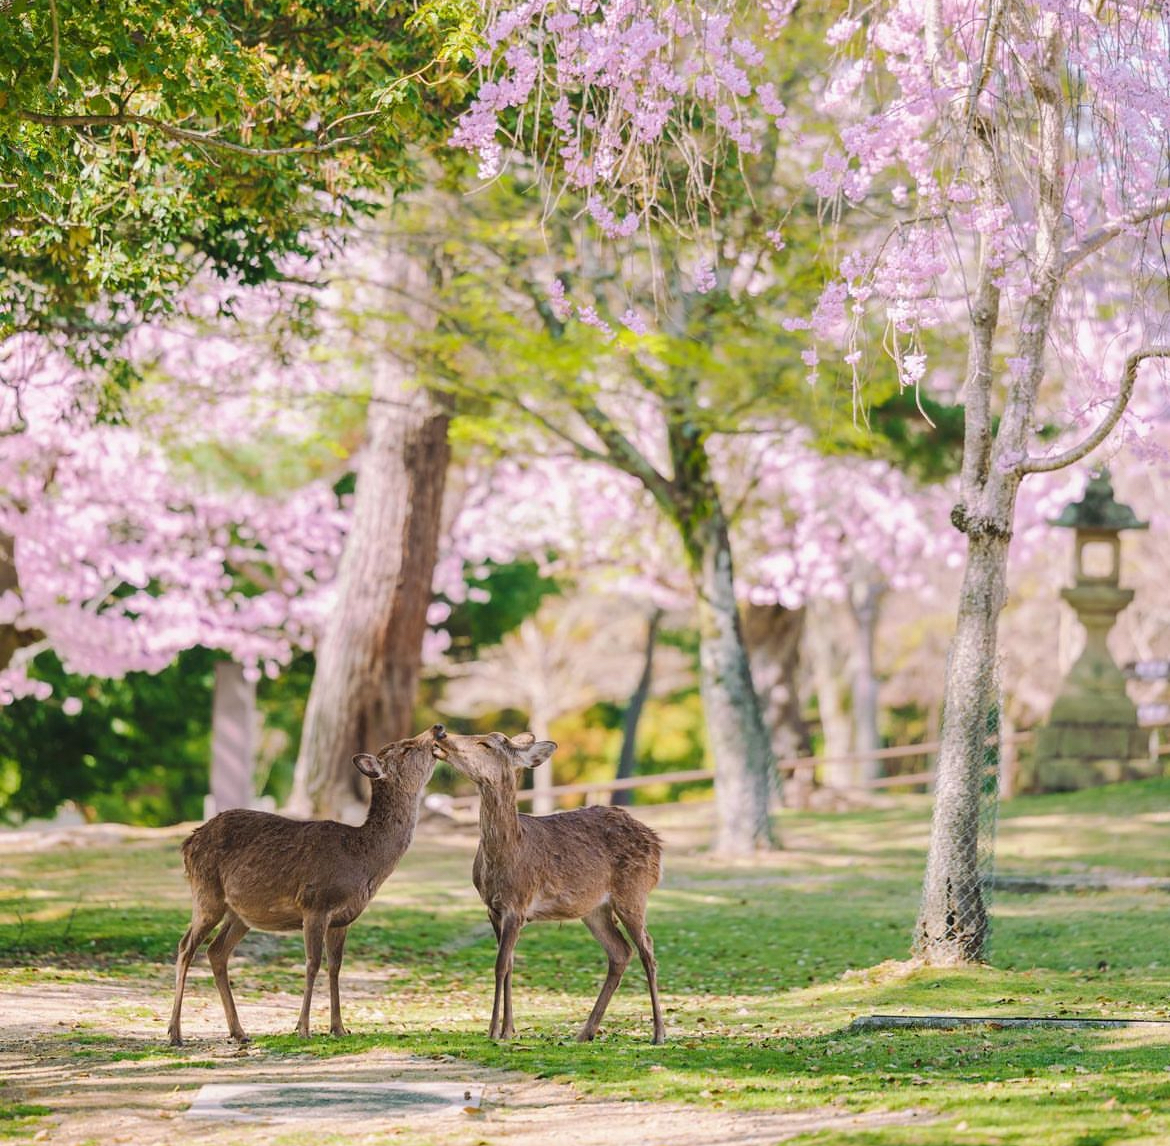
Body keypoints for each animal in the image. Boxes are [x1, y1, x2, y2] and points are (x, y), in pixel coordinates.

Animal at [162, 725, 444, 1048]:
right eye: (407, 748)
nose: (438, 729)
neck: (363, 860)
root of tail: (187, 843)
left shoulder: (343, 919)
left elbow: (335, 966)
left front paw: (339, 1027)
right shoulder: (315, 903)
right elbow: (312, 963)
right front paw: (303, 1028)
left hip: (240, 913)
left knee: (216, 951)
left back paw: (239, 1032)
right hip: (206, 893)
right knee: (186, 946)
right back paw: (175, 1033)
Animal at [432, 730, 669, 1044]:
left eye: (486, 743)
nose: (441, 733)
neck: (504, 857)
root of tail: (658, 844)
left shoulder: (518, 903)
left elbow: (500, 964)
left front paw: (494, 1031)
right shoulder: (492, 907)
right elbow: (509, 964)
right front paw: (510, 1029)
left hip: (634, 891)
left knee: (647, 949)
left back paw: (658, 1033)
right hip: (594, 909)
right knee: (620, 952)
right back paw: (586, 1032)